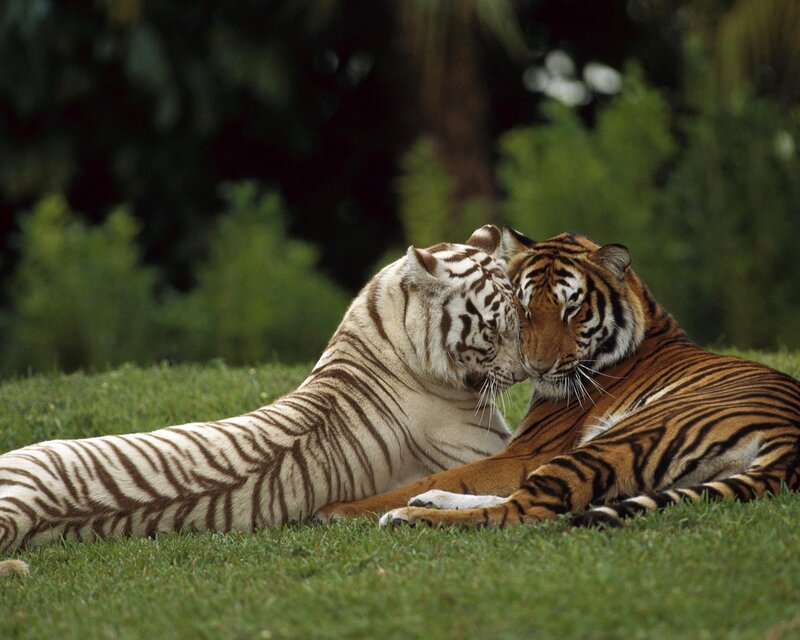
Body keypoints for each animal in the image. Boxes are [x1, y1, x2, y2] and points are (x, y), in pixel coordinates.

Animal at [317, 227, 800, 528]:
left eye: (573, 308)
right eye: (524, 306)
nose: (536, 367)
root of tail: (789, 447)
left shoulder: (529, 451)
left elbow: (449, 474)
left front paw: (339, 510)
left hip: (619, 439)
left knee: (527, 510)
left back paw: (411, 516)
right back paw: (427, 504)